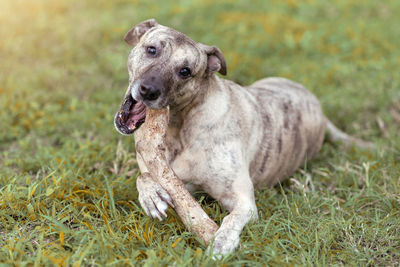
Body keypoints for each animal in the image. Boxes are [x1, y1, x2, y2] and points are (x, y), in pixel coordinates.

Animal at [114, 18, 370, 255]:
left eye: (185, 71)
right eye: (152, 50)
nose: (148, 90)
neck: (179, 127)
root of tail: (318, 107)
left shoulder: (241, 200)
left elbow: (231, 218)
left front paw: (221, 240)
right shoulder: (174, 178)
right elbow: (144, 177)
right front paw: (152, 195)